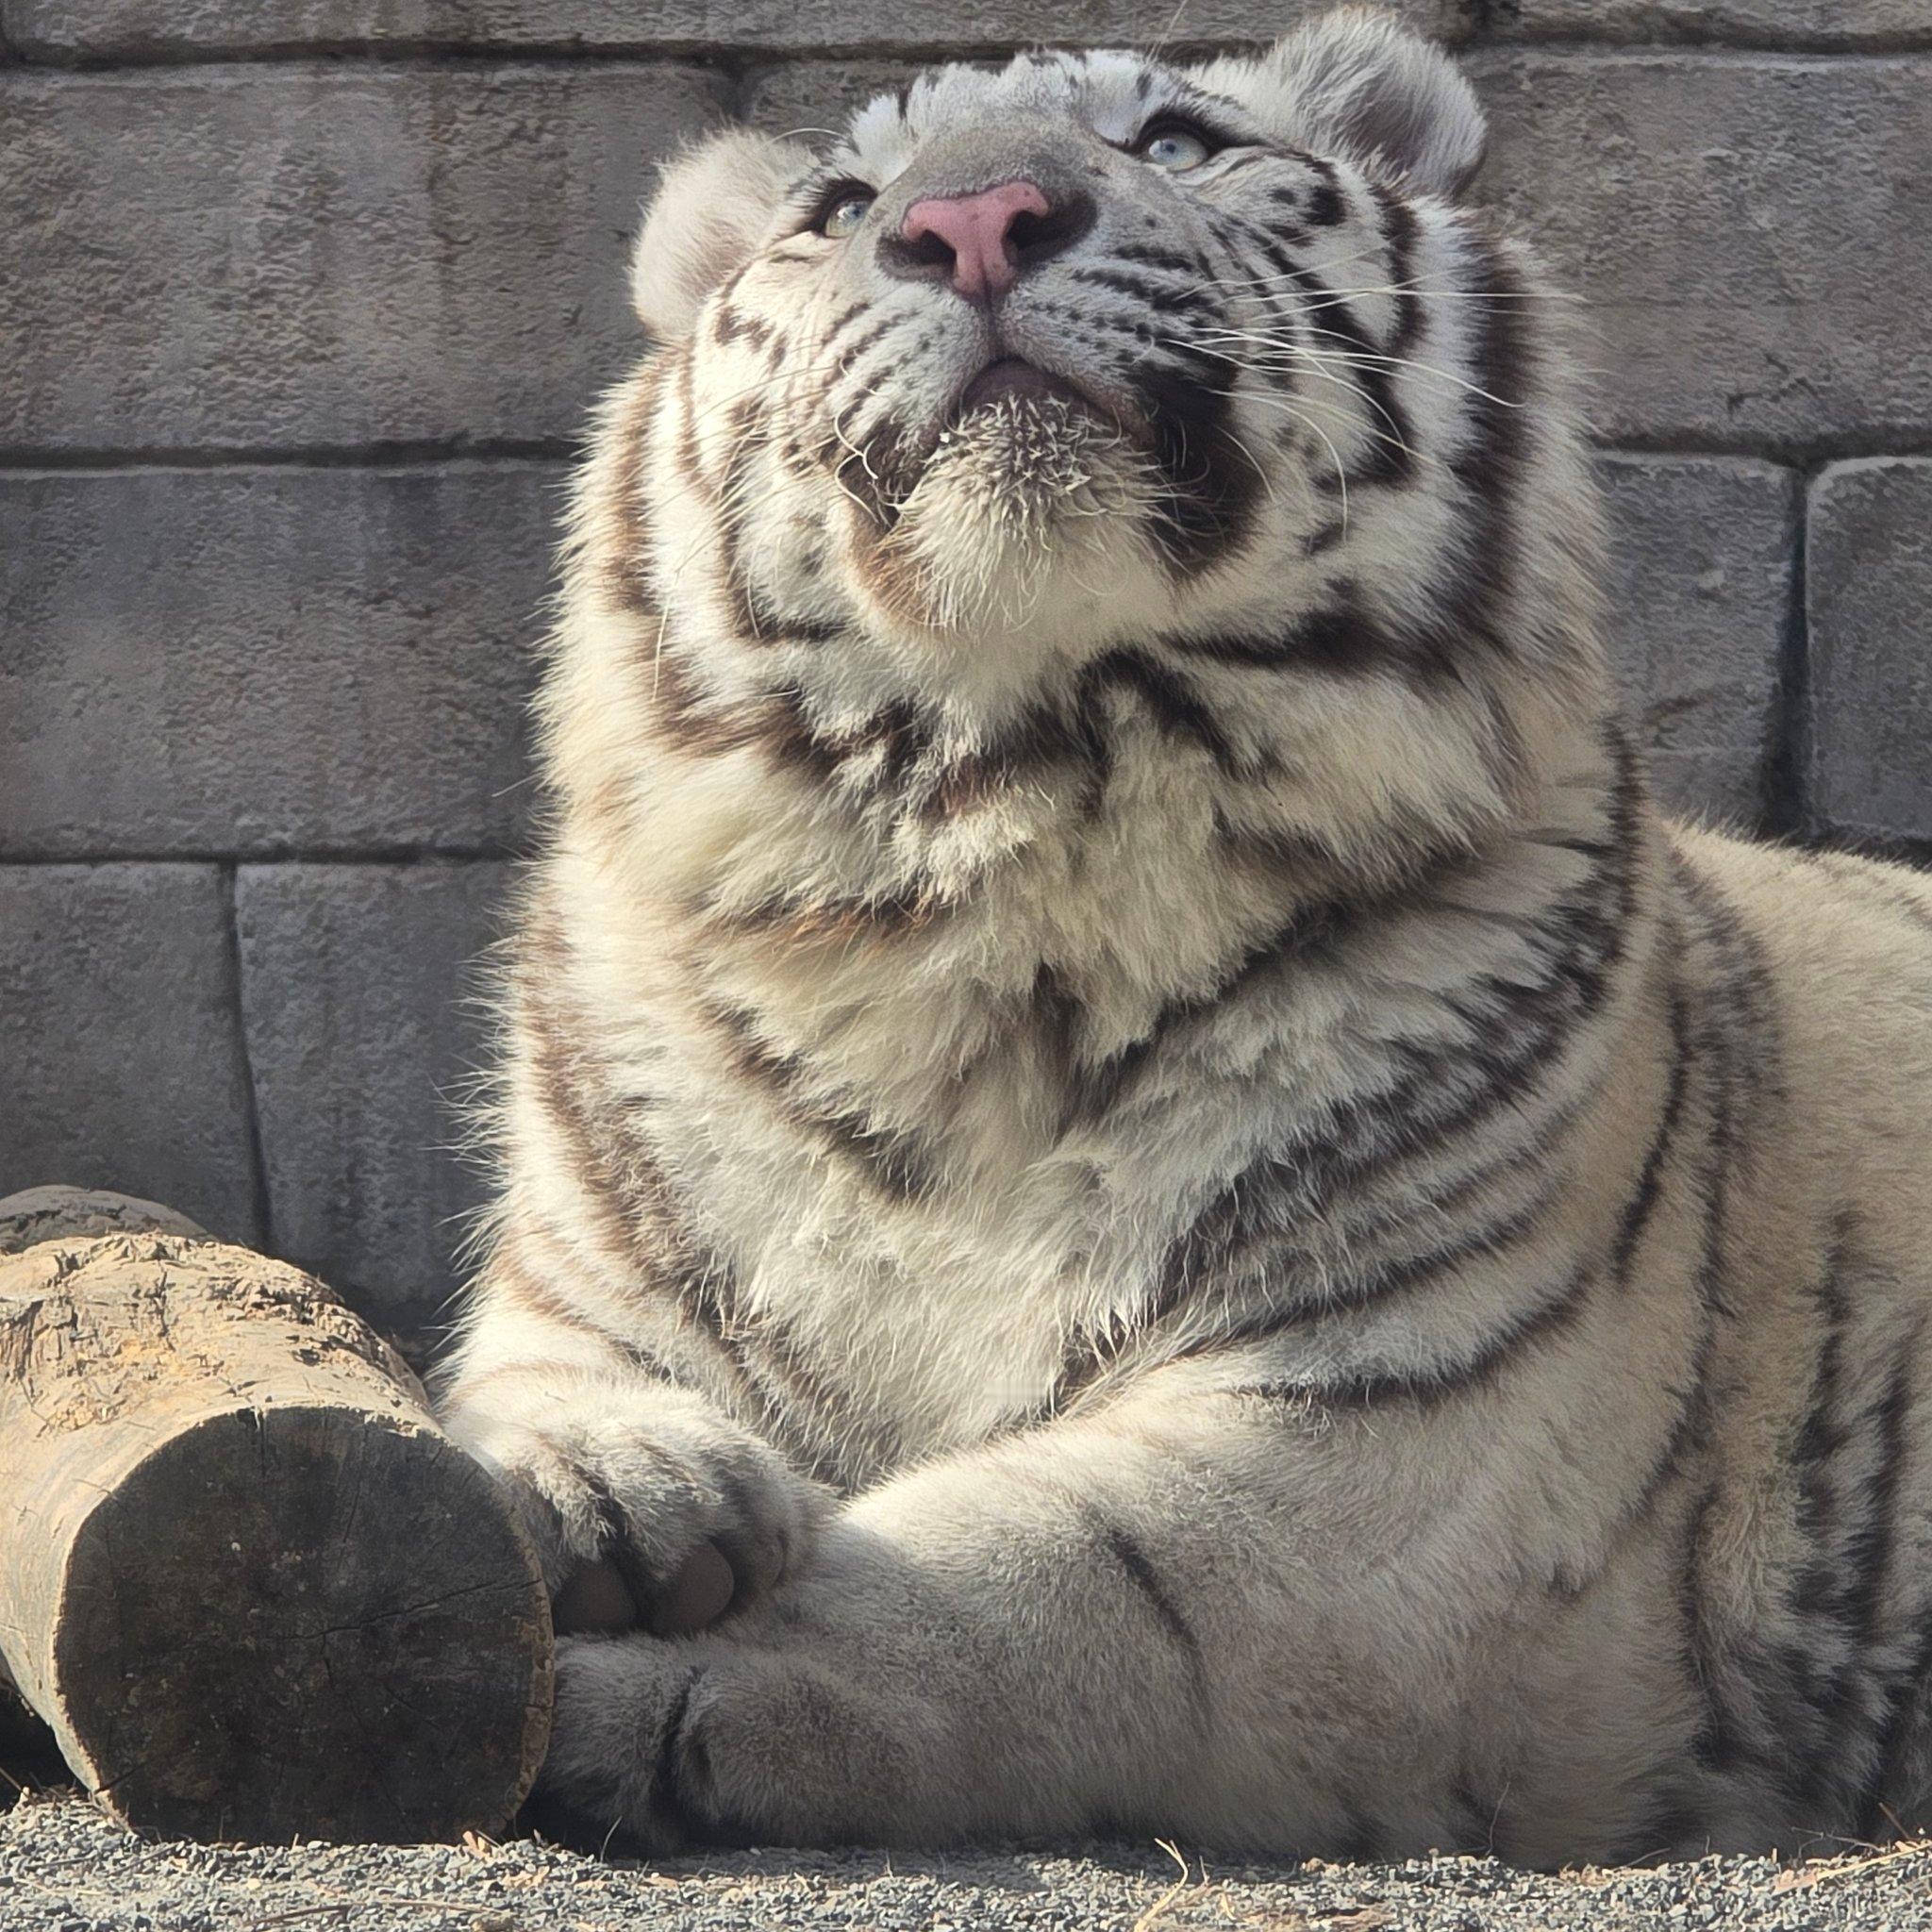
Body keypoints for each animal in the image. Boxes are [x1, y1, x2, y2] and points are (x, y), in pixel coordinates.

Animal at [434, 4, 1932, 1865]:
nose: (976, 220)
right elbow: (512, 1394)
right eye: (838, 205)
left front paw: (624, 1680)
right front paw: (600, 1497)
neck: (1009, 849)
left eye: (1172, 141)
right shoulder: (582, 1280)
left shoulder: (1394, 1433)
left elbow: (1016, 1573)